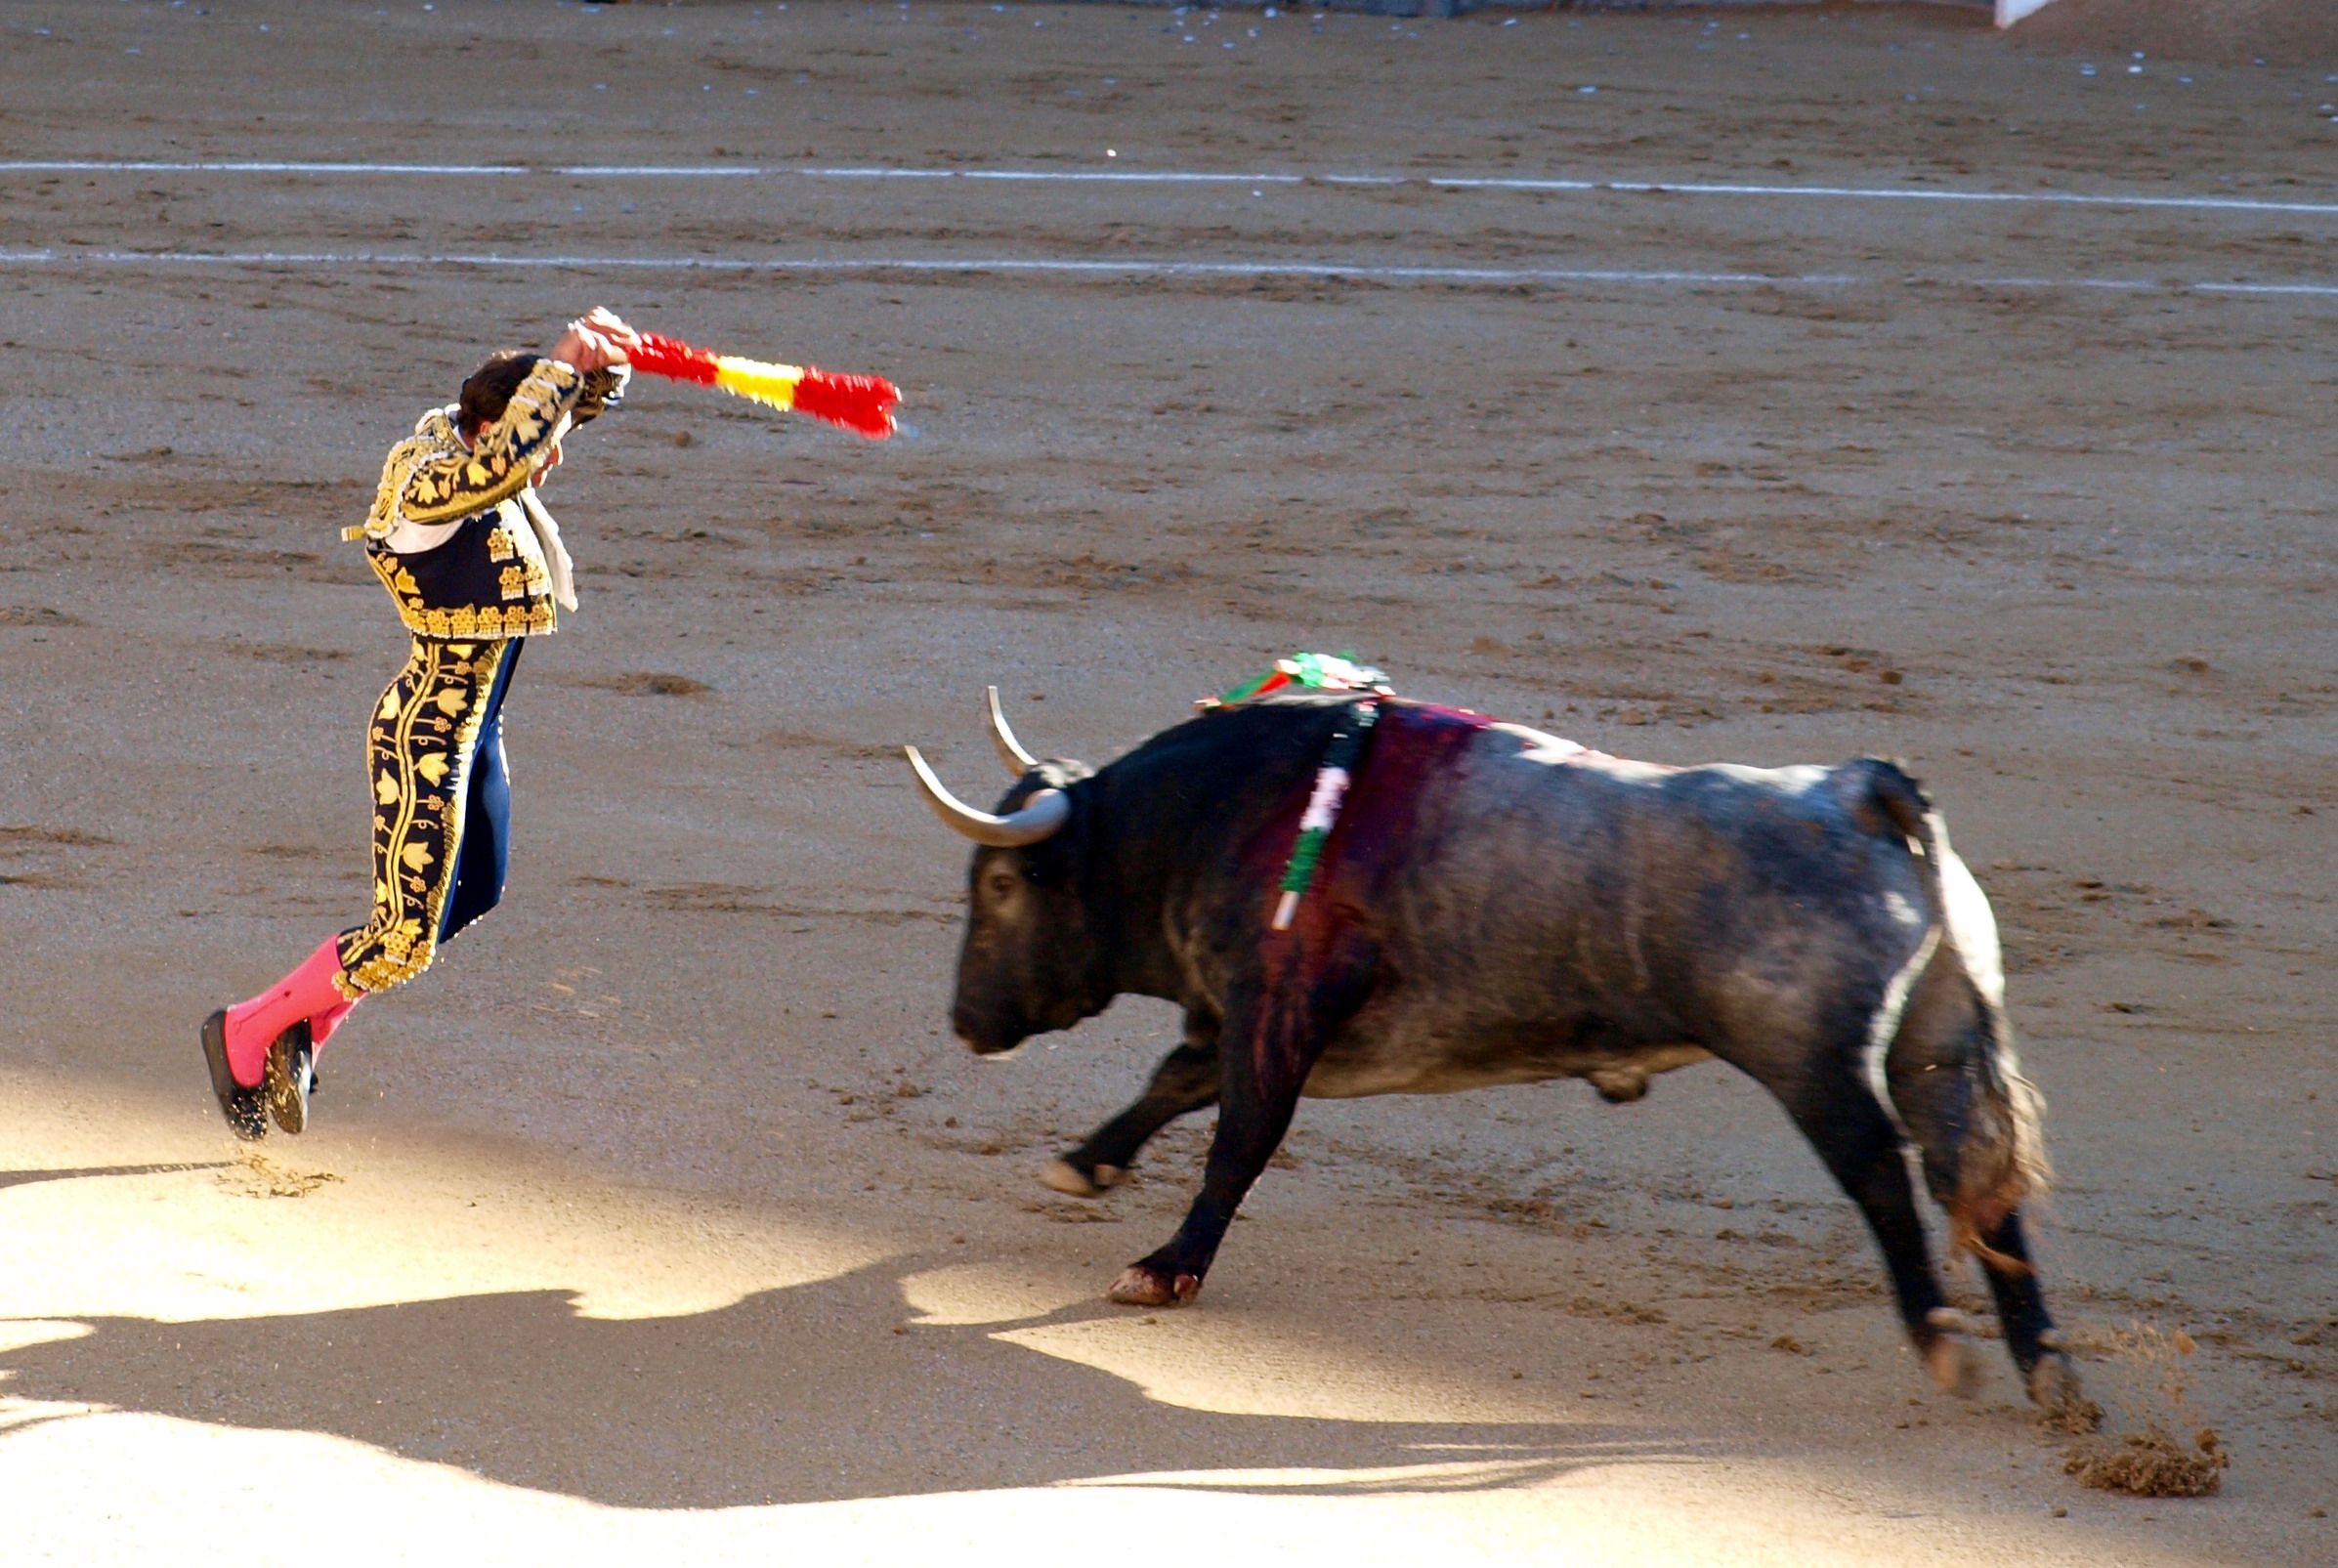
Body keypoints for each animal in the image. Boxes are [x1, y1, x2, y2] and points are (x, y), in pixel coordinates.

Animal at [902, 686, 2078, 1407]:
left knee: (1883, 1175)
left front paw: (1165, 1266)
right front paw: (1085, 1164)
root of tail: (1857, 788)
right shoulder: (1234, 1013)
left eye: (999, 885)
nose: (962, 1022)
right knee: (1975, 1182)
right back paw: (2047, 1371)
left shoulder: (1278, 1006)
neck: (1213, 815)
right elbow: (1171, 1082)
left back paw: (1941, 1340)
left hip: (1816, 1067)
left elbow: (1238, 1136)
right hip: (1935, 1042)